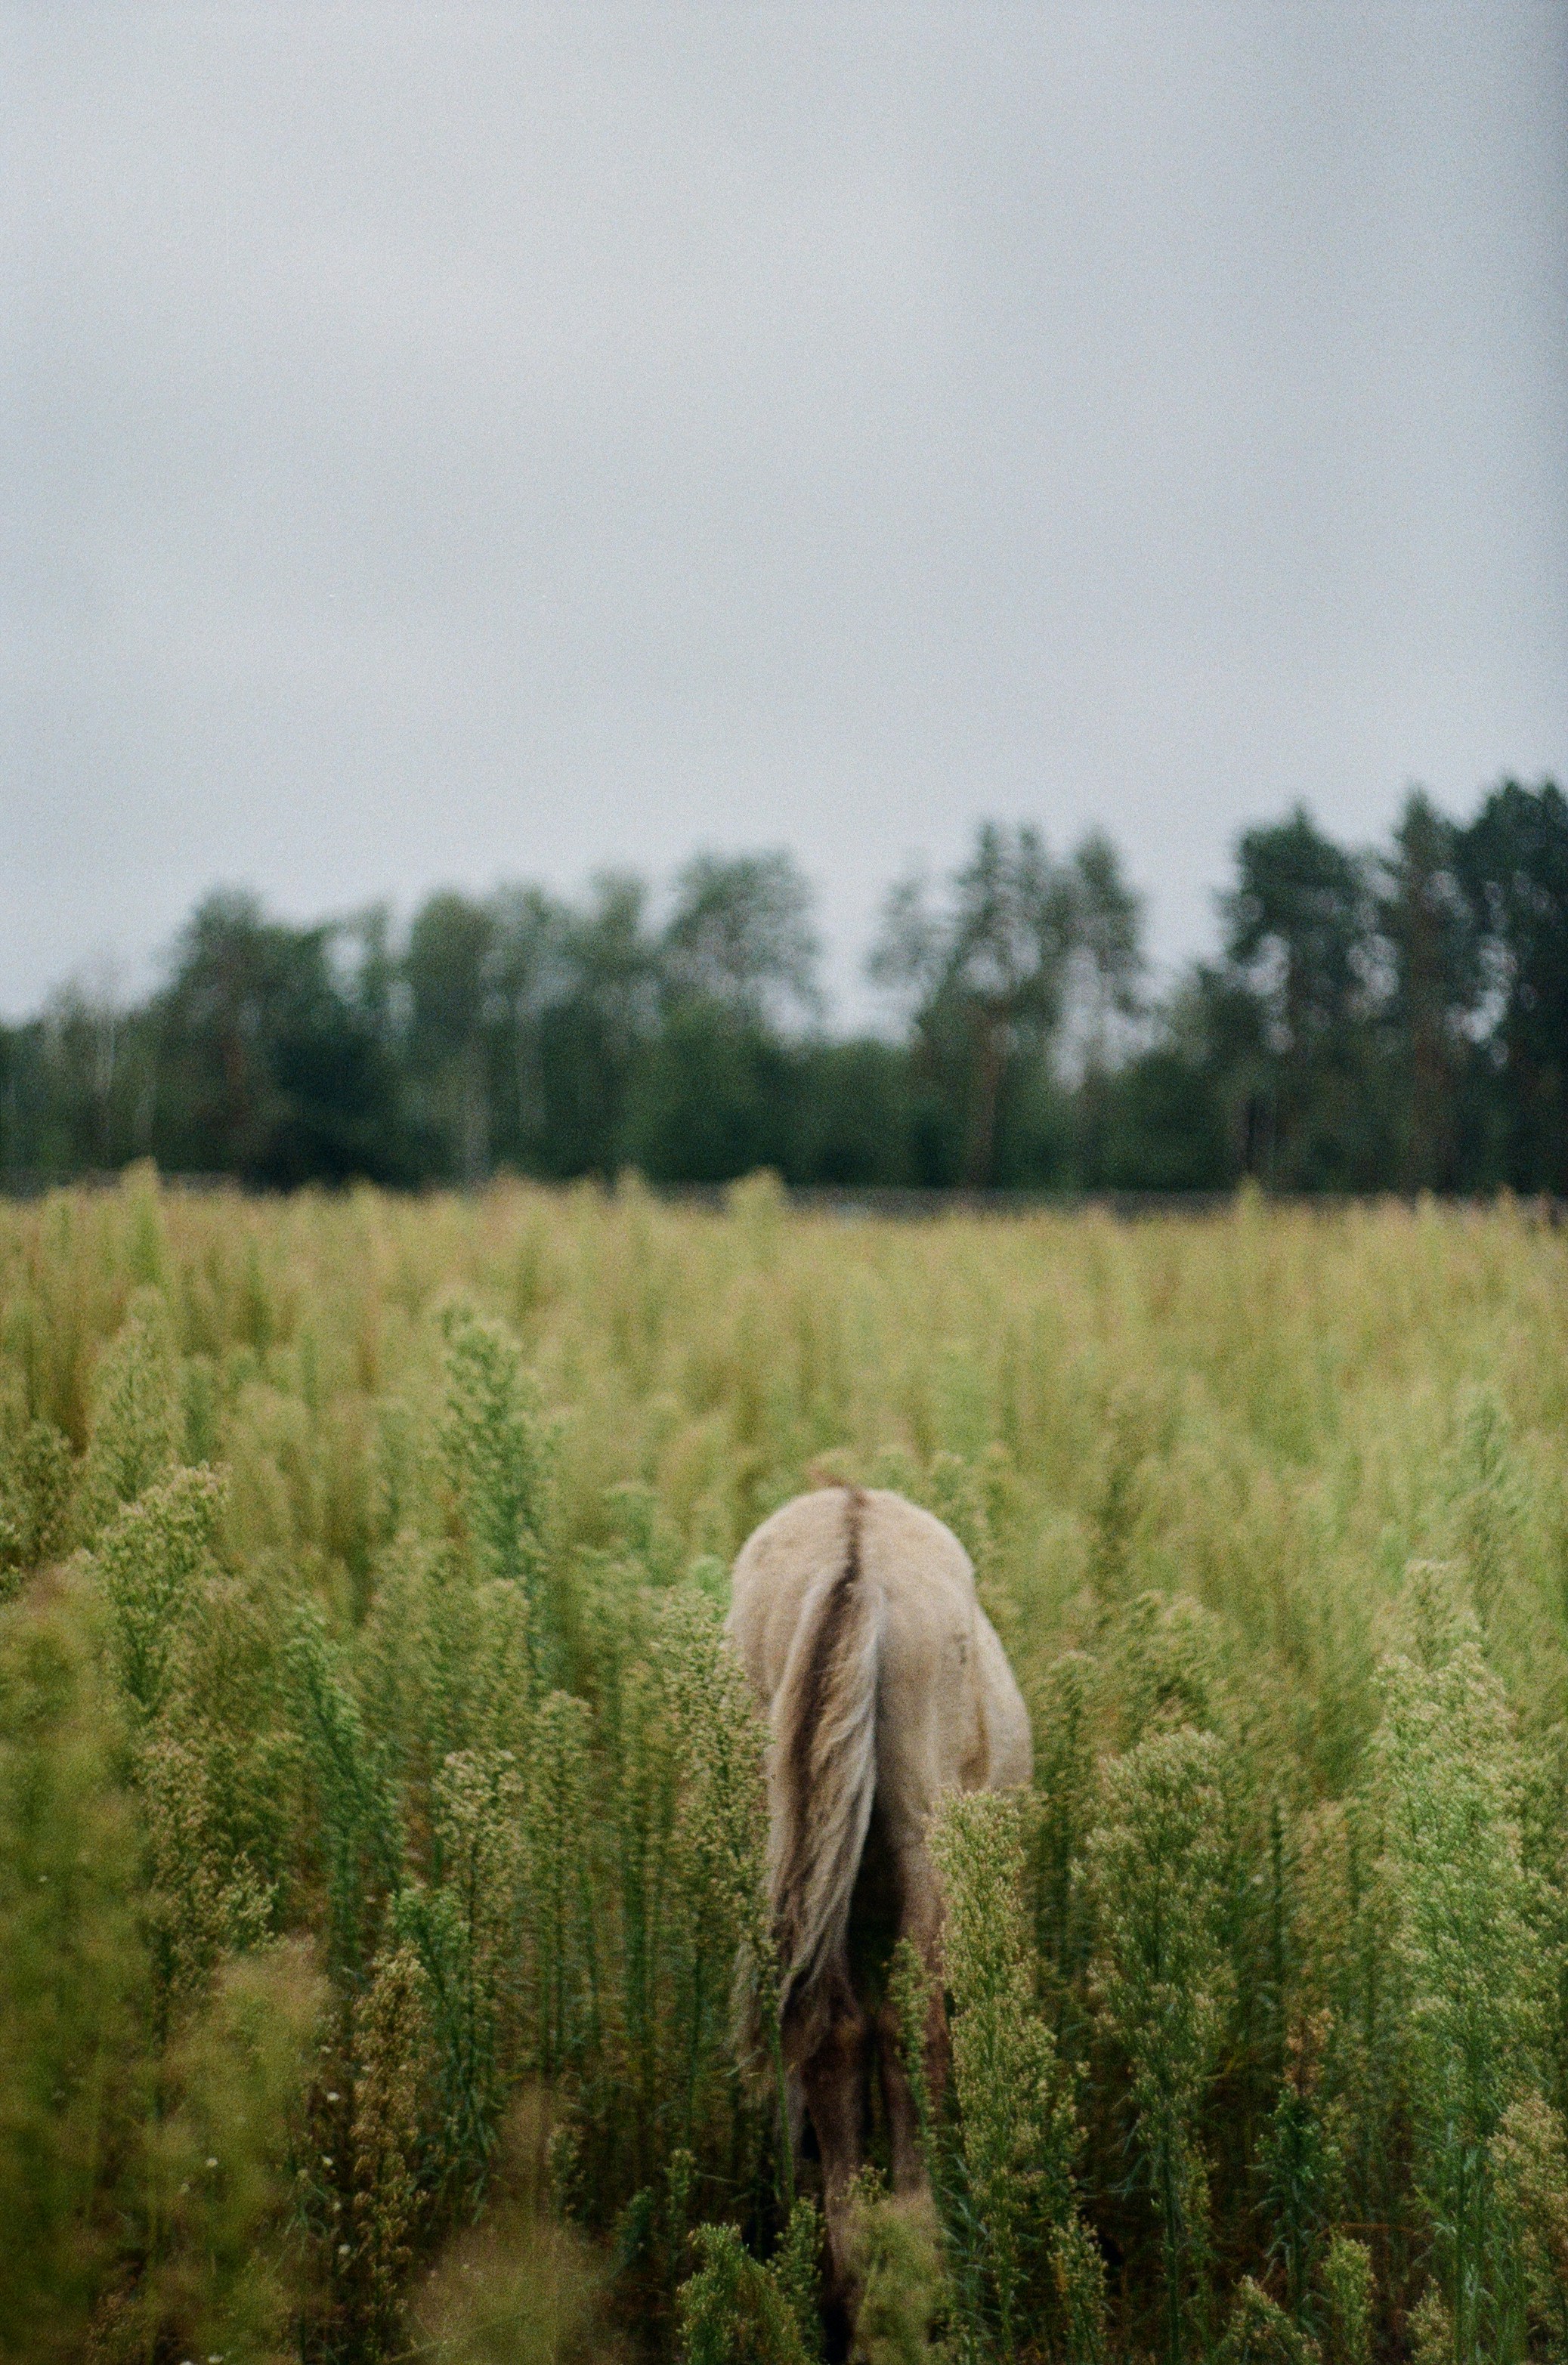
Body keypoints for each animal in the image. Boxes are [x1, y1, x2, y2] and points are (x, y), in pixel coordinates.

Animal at [726, 1482, 1031, 2342]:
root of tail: (851, 1548)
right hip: (925, 1836)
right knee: (911, 2030)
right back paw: (918, 2256)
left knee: (824, 2031)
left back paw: (851, 2274)